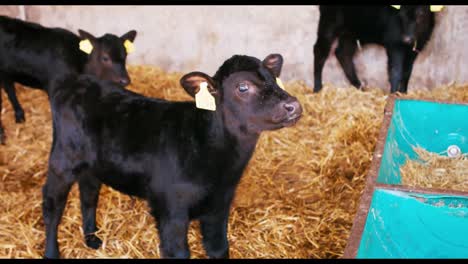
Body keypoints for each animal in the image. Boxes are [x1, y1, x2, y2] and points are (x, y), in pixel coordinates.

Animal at [0, 14, 137, 144]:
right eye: (105, 58)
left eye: (125, 56)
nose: (125, 80)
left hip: (6, 73)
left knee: (10, 89)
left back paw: (19, 116)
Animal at [43, 53, 304, 258]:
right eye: (243, 87)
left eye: (275, 79)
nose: (293, 105)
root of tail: (76, 82)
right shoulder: (170, 210)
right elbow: (178, 252)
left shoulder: (220, 205)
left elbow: (219, 248)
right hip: (62, 160)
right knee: (52, 206)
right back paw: (52, 252)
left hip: (92, 164)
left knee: (88, 193)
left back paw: (92, 239)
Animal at [312, 4, 440, 94]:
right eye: (401, 15)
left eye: (421, 14)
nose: (407, 38)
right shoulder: (394, 43)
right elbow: (395, 72)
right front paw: (393, 94)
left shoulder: (416, 48)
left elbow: (407, 72)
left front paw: (403, 93)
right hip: (329, 24)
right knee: (319, 51)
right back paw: (317, 88)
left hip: (351, 33)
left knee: (343, 53)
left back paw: (359, 87)